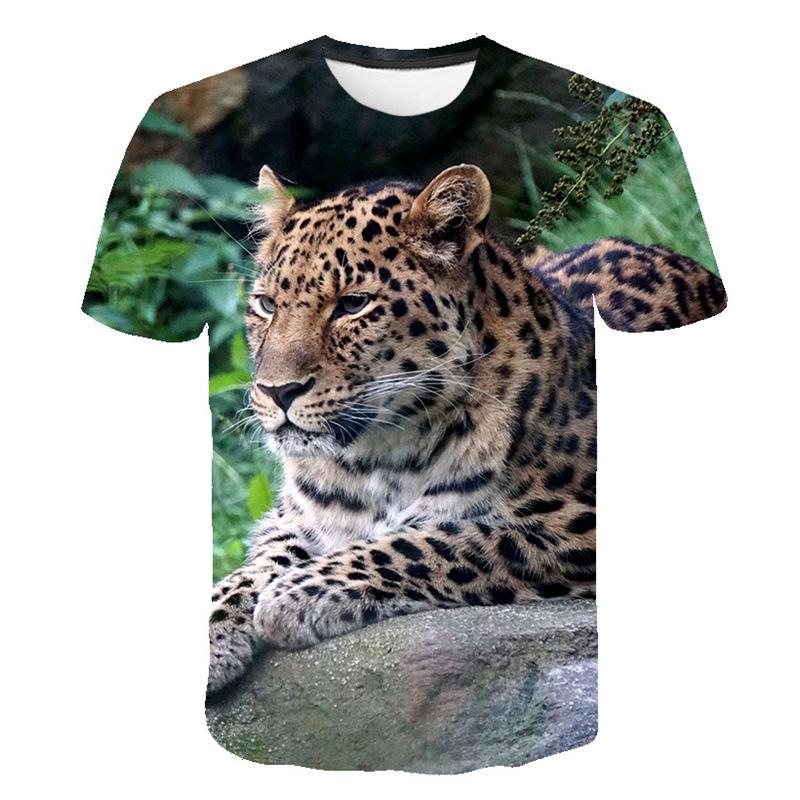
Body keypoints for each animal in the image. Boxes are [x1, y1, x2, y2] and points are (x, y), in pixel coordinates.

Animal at [207, 163, 726, 693]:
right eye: (267, 305)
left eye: (354, 304)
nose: (277, 391)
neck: (377, 456)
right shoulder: (293, 519)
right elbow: (252, 568)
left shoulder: (580, 521)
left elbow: (440, 540)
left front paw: (299, 591)